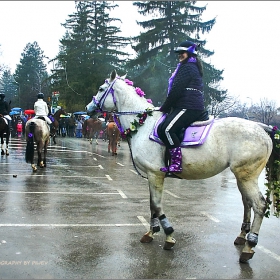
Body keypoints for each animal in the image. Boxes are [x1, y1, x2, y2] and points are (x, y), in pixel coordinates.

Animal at [86, 69, 278, 262]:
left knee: (260, 205)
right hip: (241, 177)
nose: (88, 109)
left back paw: (249, 246)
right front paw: (151, 233)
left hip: (247, 176)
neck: (143, 124)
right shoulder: (151, 176)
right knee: (248, 203)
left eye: (101, 88)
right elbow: (152, 205)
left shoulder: (156, 174)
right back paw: (242, 237)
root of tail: (261, 128)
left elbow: (157, 205)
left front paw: (169, 235)